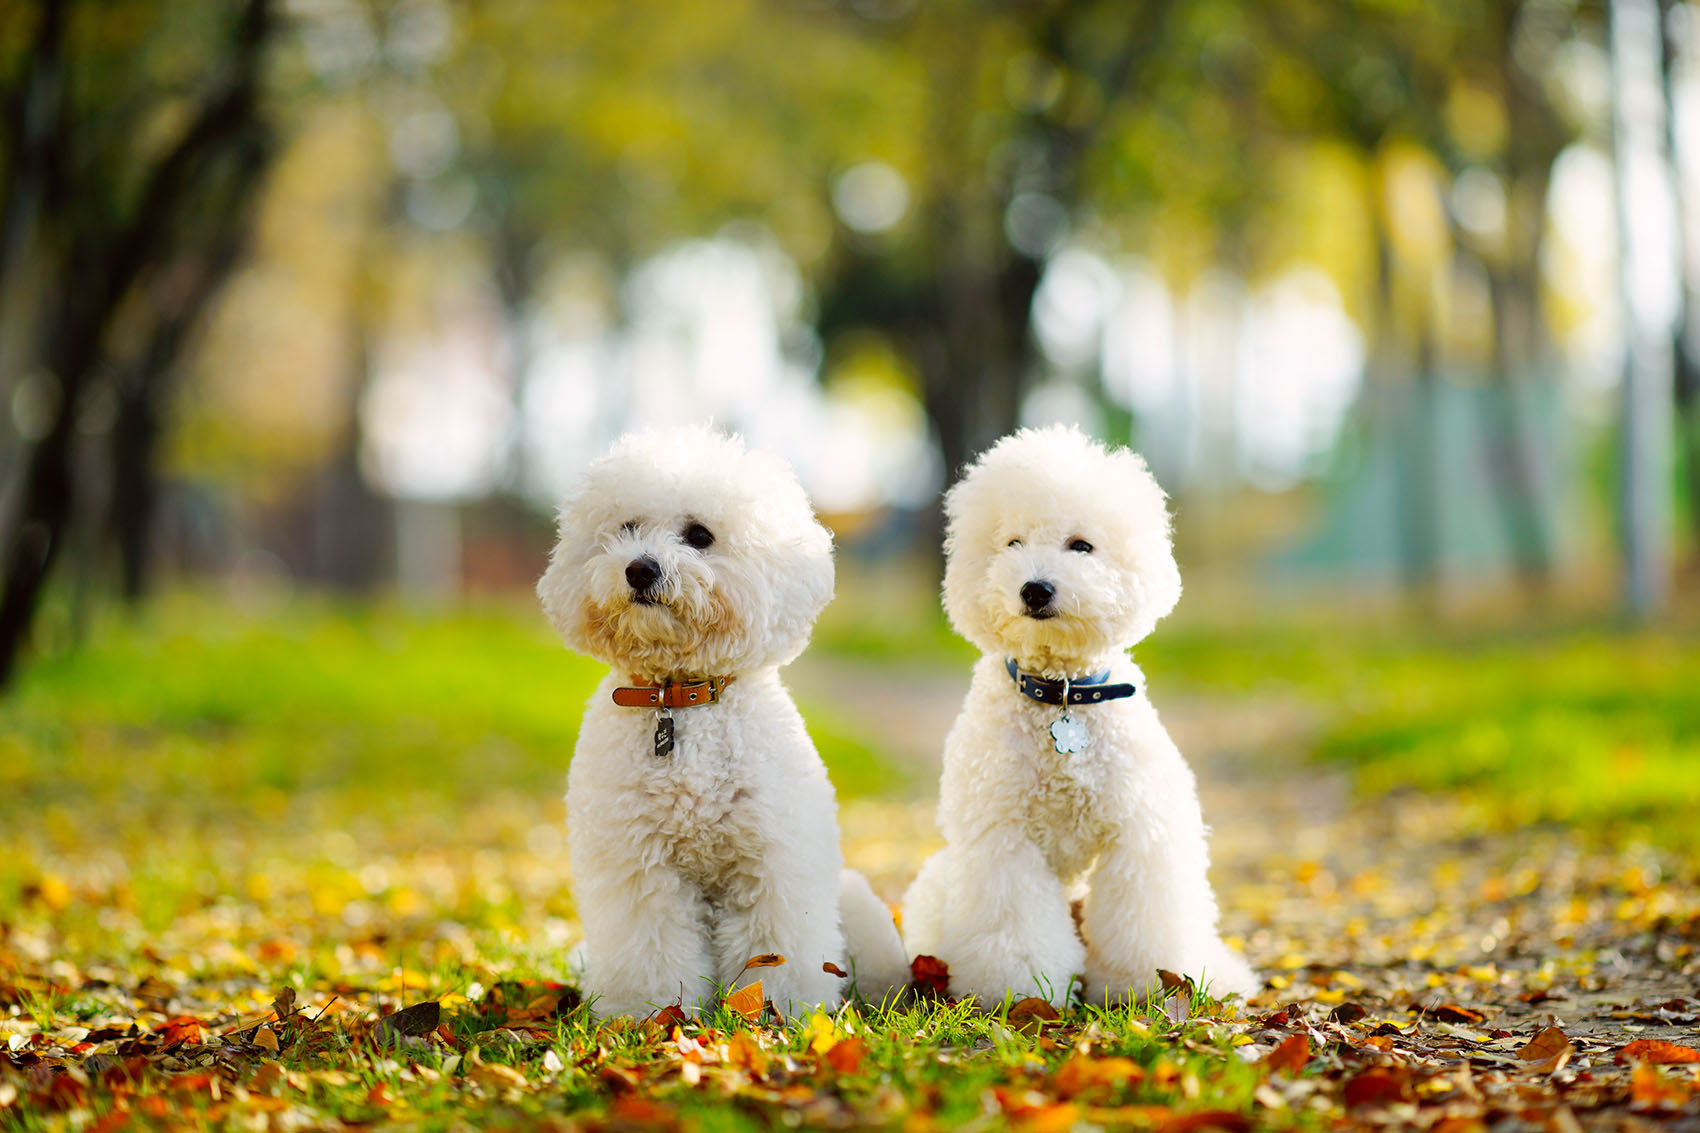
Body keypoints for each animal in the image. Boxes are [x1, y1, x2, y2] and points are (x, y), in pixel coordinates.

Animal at [540, 421, 918, 1013]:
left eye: (699, 535)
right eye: (626, 528)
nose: (639, 568)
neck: (681, 700)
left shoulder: (769, 862)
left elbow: (775, 951)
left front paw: (780, 1013)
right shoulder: (641, 868)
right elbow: (651, 950)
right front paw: (648, 1014)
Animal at [904, 425, 1251, 1007]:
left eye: (1081, 546)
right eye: (1012, 543)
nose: (1035, 588)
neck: (1061, 695)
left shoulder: (1139, 834)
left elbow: (1144, 923)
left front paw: (1142, 986)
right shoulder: (1005, 842)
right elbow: (1017, 928)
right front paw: (1027, 991)